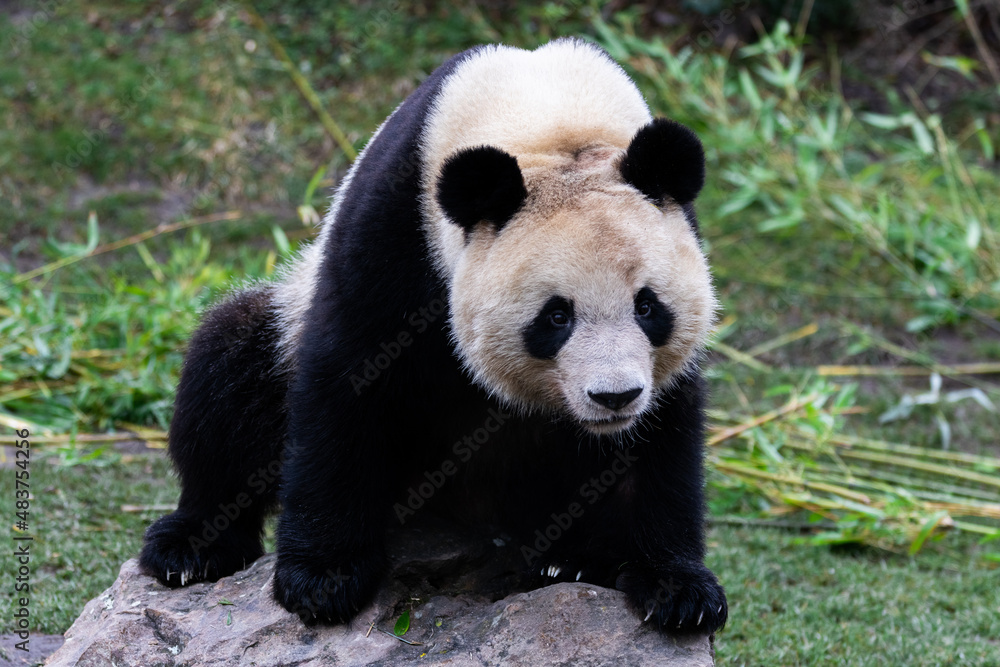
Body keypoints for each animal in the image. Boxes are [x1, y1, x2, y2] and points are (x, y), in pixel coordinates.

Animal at [139, 37, 728, 636]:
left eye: (647, 306)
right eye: (556, 317)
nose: (614, 397)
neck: (551, 122)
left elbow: (662, 436)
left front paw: (676, 590)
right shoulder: (396, 226)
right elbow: (346, 379)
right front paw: (323, 579)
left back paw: (574, 559)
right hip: (284, 321)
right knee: (229, 372)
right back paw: (192, 547)